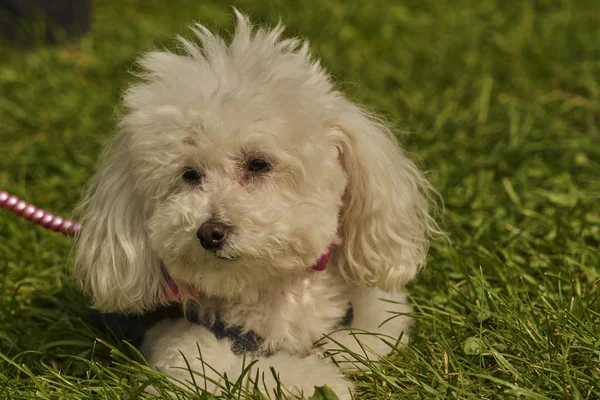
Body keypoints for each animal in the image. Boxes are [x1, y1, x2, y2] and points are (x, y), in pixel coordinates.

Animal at [75, 10, 438, 398]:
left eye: (259, 164)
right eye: (189, 174)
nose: (210, 232)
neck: (271, 291)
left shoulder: (377, 314)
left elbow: (367, 336)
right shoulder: (187, 356)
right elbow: (264, 375)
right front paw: (323, 379)